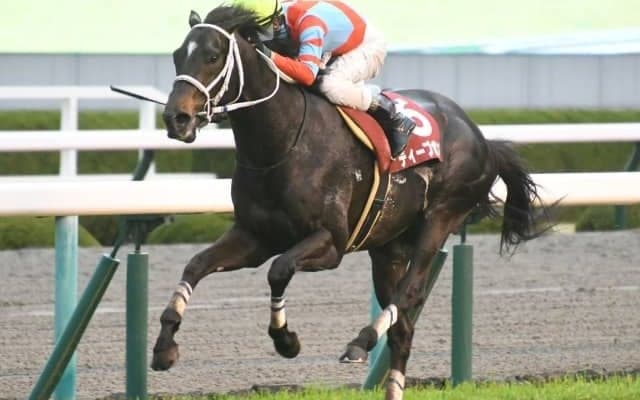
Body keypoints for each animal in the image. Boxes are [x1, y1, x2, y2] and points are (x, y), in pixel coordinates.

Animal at [152, 5, 546, 399]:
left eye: (212, 56)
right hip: (388, 247)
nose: (176, 119)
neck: (281, 144)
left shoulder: (331, 243)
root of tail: (481, 137)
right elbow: (196, 265)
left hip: (441, 218)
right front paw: (164, 347)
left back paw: (361, 341)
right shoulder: (255, 236)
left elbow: (279, 269)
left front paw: (286, 340)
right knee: (403, 328)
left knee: (410, 292)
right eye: (176, 56)